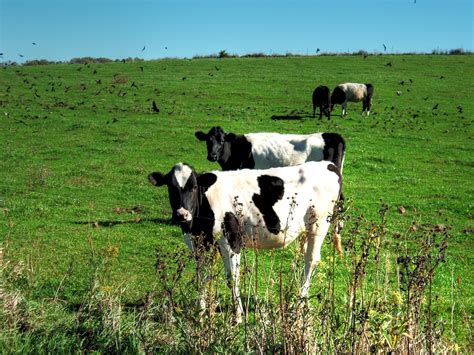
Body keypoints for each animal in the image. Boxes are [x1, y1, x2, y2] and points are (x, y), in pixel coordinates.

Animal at [148, 163, 340, 324]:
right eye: (171, 187)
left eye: (194, 187)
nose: (182, 214)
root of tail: (327, 164)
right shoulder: (198, 244)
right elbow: (202, 276)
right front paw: (201, 313)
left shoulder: (231, 240)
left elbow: (232, 278)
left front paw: (238, 316)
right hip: (305, 230)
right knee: (304, 258)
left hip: (319, 223)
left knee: (311, 260)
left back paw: (299, 304)